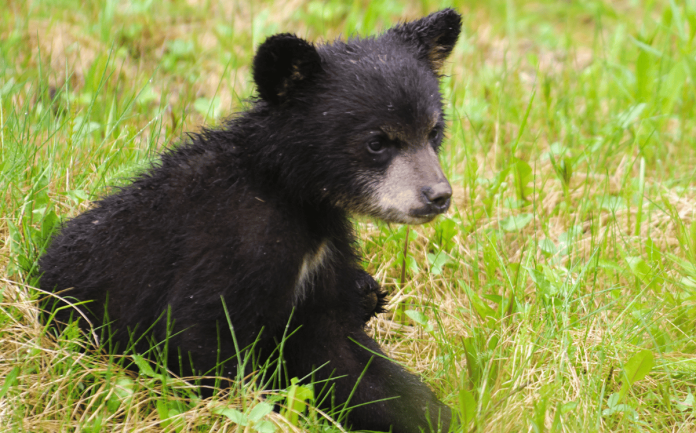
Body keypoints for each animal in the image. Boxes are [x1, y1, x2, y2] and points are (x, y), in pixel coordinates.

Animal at [39, 9, 462, 433]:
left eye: (434, 131)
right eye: (376, 142)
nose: (438, 195)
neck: (290, 193)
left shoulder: (325, 258)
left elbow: (345, 356)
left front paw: (436, 414)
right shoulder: (232, 240)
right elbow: (200, 337)